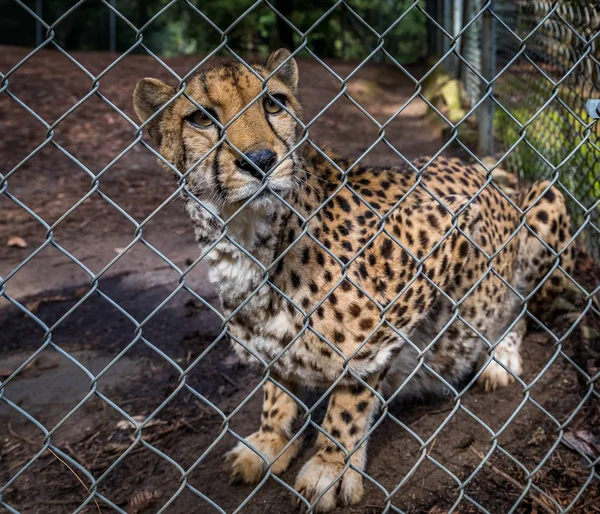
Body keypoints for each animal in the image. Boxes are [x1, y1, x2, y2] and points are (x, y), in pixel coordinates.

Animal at [134, 50, 576, 510]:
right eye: (201, 118)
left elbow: (354, 384)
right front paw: (270, 440)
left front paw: (330, 464)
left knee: (521, 304)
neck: (247, 238)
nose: (260, 160)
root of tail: (483, 167)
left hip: (546, 199)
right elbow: (276, 386)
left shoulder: (442, 230)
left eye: (273, 103)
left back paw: (499, 356)